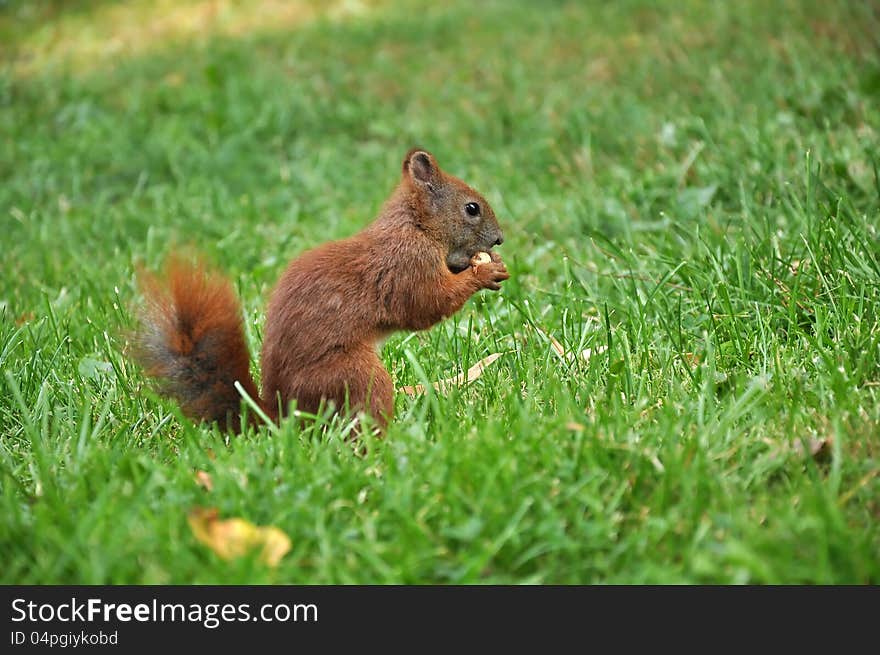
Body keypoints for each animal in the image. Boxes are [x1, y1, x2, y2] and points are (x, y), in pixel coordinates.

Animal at [135, 151, 512, 434]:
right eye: (472, 208)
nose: (499, 240)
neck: (415, 227)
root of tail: (281, 415)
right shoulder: (406, 267)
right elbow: (426, 306)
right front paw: (484, 272)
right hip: (352, 376)